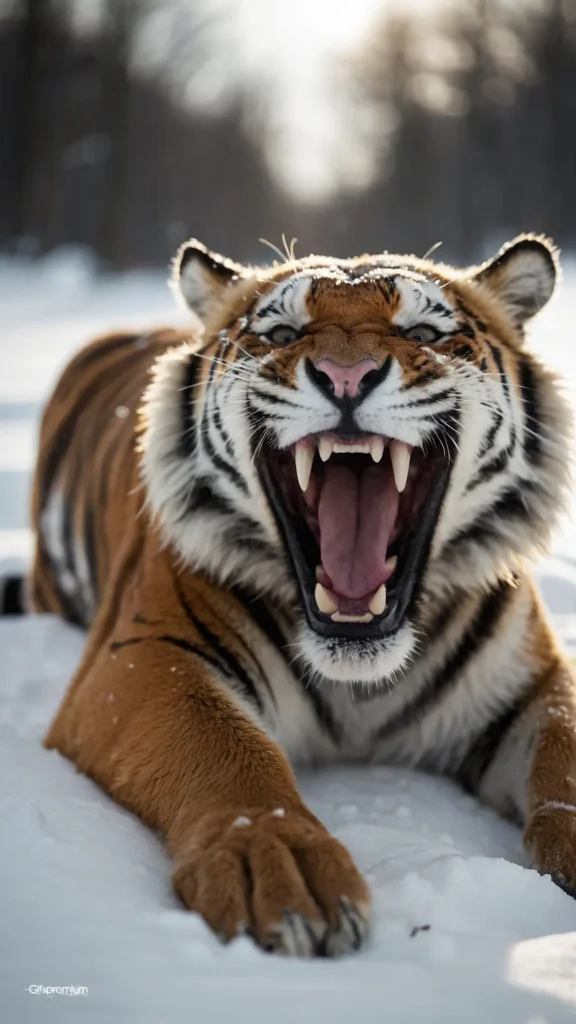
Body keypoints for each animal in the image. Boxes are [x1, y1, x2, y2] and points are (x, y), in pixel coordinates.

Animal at [21, 232, 576, 958]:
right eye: (282, 332)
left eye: (423, 332)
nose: (346, 377)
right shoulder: (143, 657)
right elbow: (224, 751)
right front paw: (280, 869)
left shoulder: (535, 683)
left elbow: (565, 759)